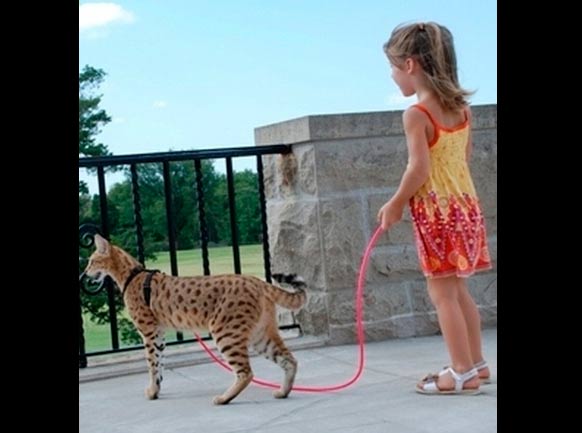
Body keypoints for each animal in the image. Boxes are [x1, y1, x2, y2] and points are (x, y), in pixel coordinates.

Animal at [85, 235, 310, 404]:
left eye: (92, 261)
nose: (85, 273)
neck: (132, 274)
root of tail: (256, 280)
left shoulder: (148, 332)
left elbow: (152, 363)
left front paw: (152, 392)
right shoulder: (158, 334)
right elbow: (159, 364)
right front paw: (156, 390)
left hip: (225, 332)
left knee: (246, 372)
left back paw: (223, 398)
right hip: (260, 335)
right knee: (290, 359)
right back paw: (283, 392)